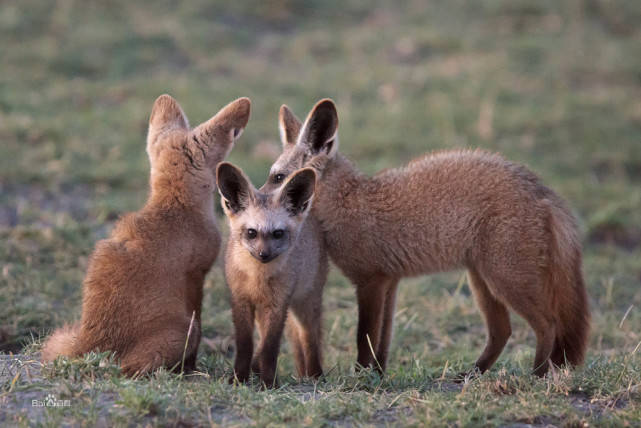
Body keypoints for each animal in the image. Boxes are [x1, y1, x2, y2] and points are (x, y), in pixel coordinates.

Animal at [40, 94, 250, 374]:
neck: (173, 204)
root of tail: (91, 346)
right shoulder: (197, 276)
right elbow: (199, 323)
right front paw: (192, 368)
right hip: (182, 332)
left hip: (64, 334)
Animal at [218, 162, 328, 386]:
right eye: (251, 232)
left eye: (277, 233)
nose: (264, 254)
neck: (257, 279)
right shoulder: (241, 301)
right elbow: (246, 345)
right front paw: (239, 378)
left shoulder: (278, 305)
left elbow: (270, 347)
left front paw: (268, 383)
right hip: (265, 312)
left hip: (305, 304)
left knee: (309, 338)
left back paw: (315, 375)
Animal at [262, 98, 592, 376]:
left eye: (278, 177)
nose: (257, 202)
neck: (350, 202)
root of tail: (539, 188)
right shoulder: (390, 282)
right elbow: (382, 342)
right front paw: (377, 377)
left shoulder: (371, 282)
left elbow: (363, 338)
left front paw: (359, 379)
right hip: (484, 282)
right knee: (503, 331)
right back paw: (474, 373)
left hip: (506, 280)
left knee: (548, 325)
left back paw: (537, 375)